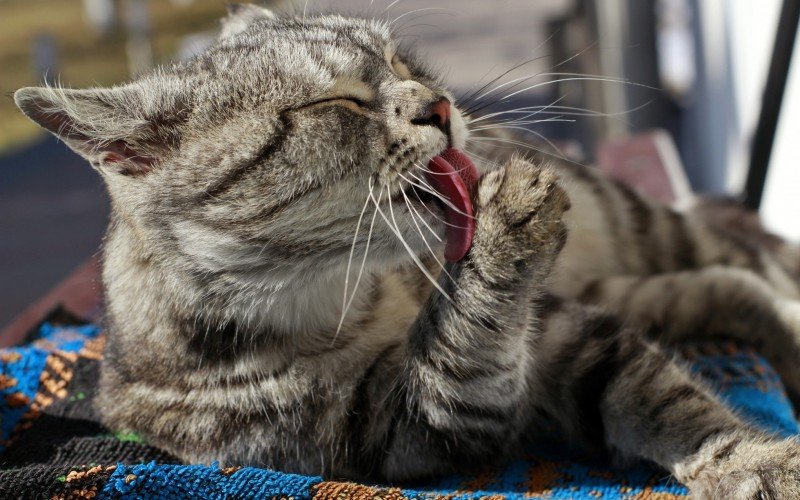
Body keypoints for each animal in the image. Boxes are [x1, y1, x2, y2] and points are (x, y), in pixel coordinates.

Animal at [10, 2, 800, 496]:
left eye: (402, 61)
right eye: (334, 104)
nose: (440, 105)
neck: (351, 296)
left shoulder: (564, 332)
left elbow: (670, 403)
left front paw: (756, 459)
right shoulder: (414, 426)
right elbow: (464, 344)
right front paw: (502, 234)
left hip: (646, 228)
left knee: (747, 263)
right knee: (730, 286)